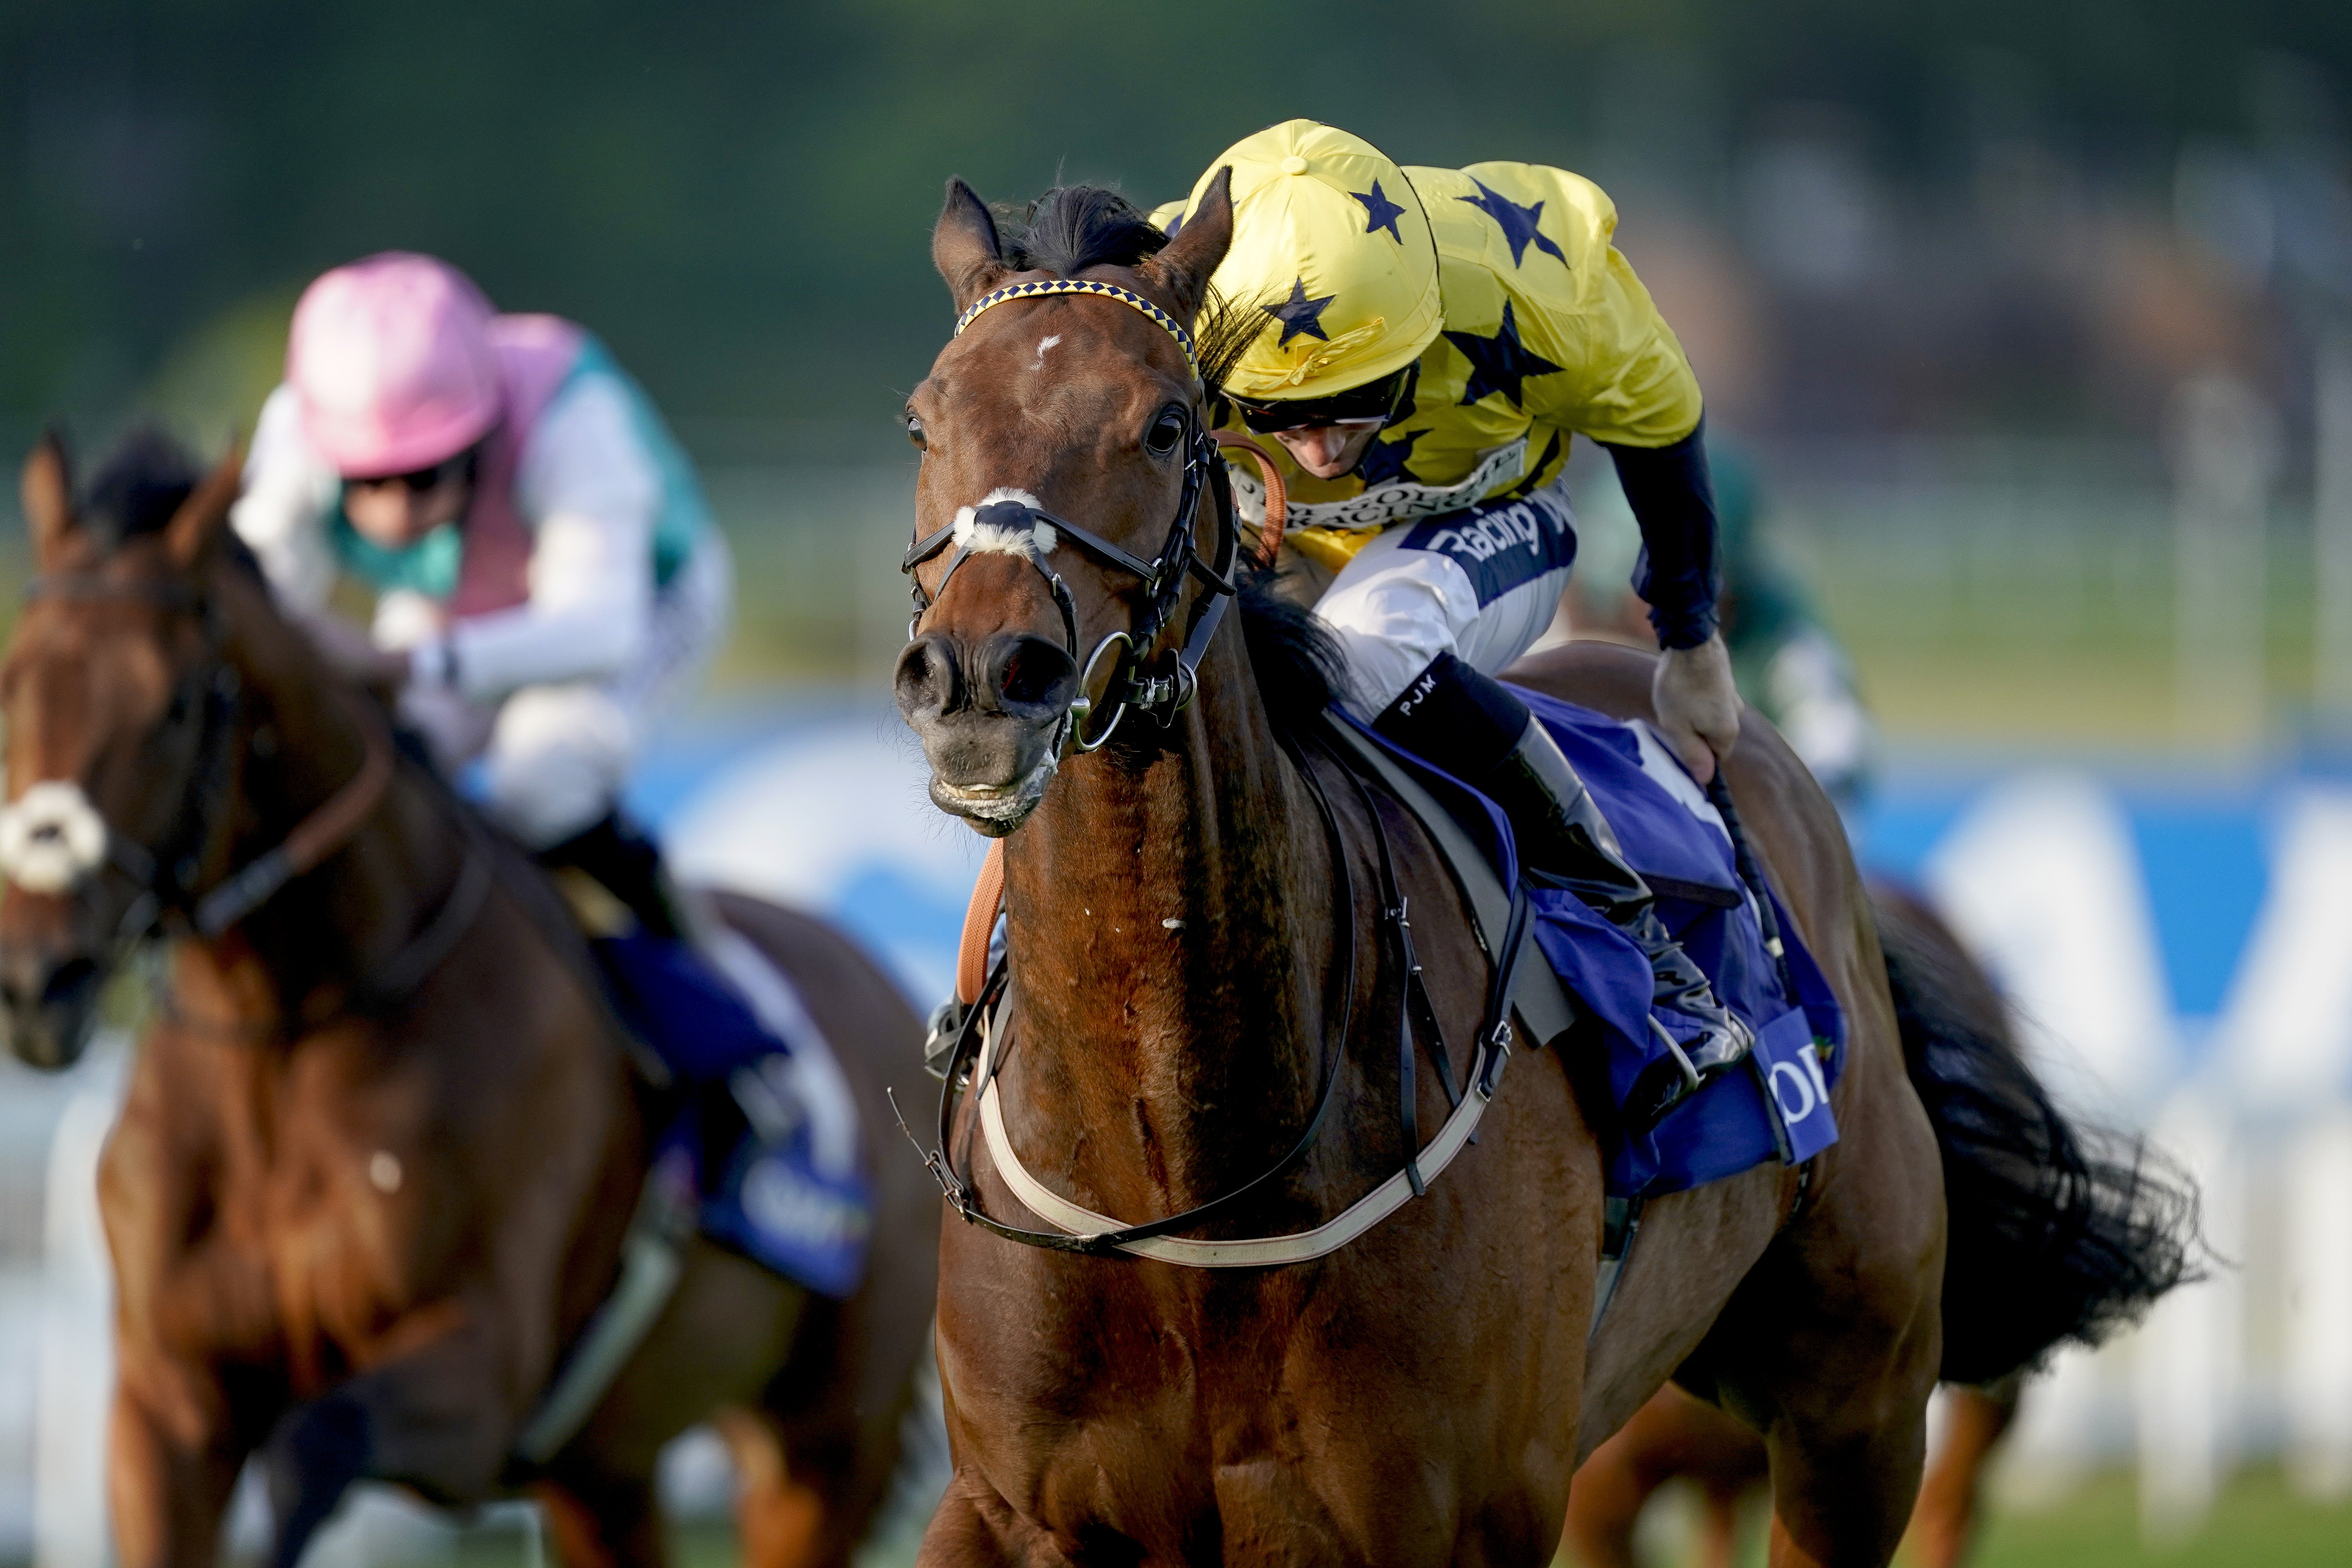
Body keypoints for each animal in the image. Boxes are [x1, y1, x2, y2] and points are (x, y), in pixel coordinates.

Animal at [7, 432, 946, 1568]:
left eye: (177, 704)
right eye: (11, 685)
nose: (36, 978)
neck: (286, 1039)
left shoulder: (485, 1373)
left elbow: (313, 1445)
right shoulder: (167, 1399)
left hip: (825, 1442)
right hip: (607, 1466)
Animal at [889, 175, 2192, 1568]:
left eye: (1165, 424)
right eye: (923, 418)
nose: (981, 675)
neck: (1182, 1180)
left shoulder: (1475, 1512)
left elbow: (1649, 404)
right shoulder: (1008, 1507)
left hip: (1863, 1408)